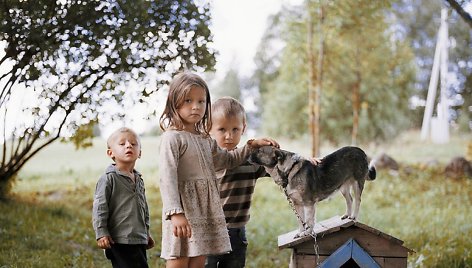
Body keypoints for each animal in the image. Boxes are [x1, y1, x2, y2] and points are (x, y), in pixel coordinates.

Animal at [247, 147, 376, 237]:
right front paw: (300, 232)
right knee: (349, 199)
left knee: (358, 200)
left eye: (260, 151)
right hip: (343, 186)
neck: (288, 171)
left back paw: (353, 216)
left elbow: (309, 220)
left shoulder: (308, 203)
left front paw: (307, 232)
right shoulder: (297, 204)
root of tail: (361, 151)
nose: (247, 154)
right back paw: (347, 215)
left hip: (357, 183)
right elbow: (300, 221)